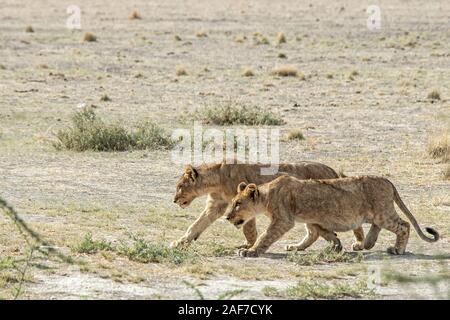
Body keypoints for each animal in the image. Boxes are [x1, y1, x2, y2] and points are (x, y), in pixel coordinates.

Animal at [172, 161, 366, 249]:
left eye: (180, 186)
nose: (174, 200)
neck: (216, 180)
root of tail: (331, 169)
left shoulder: (246, 206)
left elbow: (249, 229)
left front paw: (248, 246)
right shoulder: (215, 206)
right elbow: (196, 225)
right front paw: (180, 242)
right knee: (314, 231)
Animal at [225, 175, 440, 258]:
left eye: (237, 203)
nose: (227, 217)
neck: (267, 195)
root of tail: (387, 180)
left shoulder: (283, 220)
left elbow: (265, 236)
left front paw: (250, 251)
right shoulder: (310, 220)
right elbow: (315, 234)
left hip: (383, 213)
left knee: (403, 226)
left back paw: (397, 249)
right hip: (376, 214)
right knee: (376, 228)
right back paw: (363, 244)